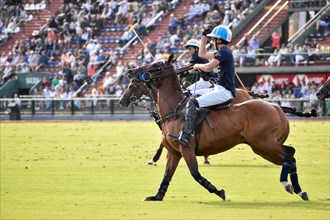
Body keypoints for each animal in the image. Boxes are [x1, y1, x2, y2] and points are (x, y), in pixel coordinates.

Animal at [119, 55, 310, 201]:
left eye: (156, 65)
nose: (130, 71)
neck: (174, 111)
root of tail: (276, 107)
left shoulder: (186, 149)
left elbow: (195, 174)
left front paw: (219, 192)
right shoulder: (173, 153)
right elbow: (166, 176)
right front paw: (156, 196)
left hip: (264, 142)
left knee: (290, 152)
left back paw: (287, 184)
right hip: (261, 148)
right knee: (289, 159)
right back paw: (299, 190)